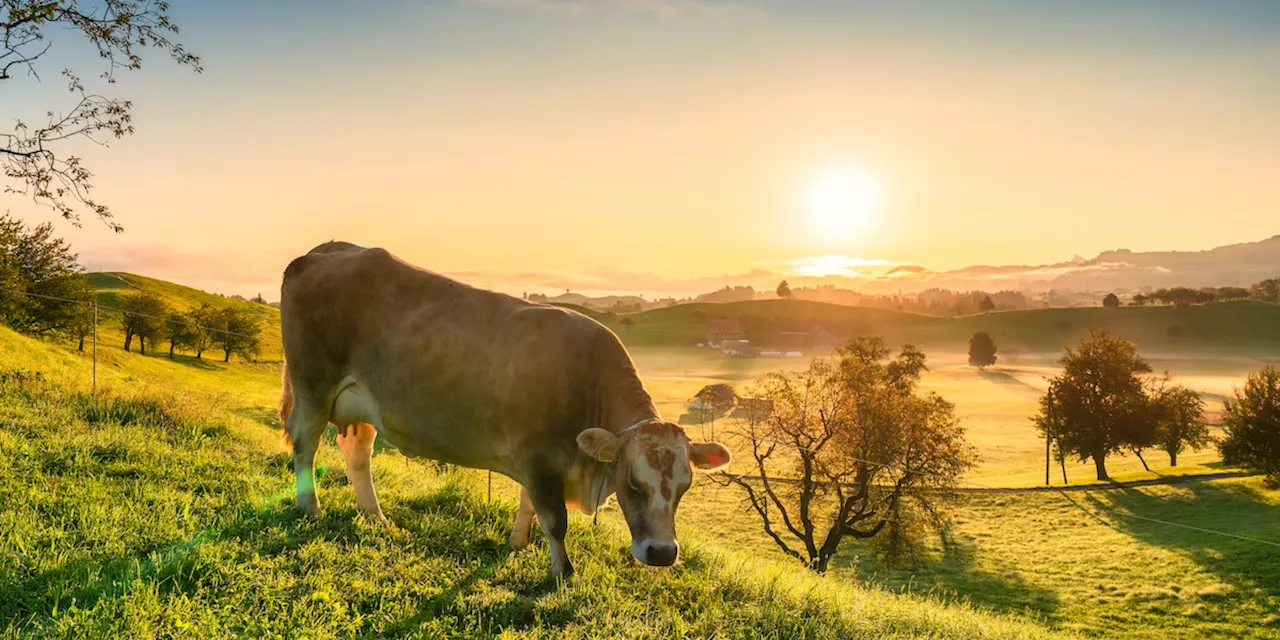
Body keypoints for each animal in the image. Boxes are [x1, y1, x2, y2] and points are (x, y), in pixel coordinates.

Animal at [277, 240, 732, 581]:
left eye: (685, 486)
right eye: (635, 485)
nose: (662, 553)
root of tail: (324, 250)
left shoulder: (539, 461)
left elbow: (528, 504)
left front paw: (517, 543)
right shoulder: (539, 456)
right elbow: (554, 518)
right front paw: (563, 573)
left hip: (363, 401)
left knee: (357, 455)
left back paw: (375, 516)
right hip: (313, 384)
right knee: (305, 442)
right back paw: (310, 507)